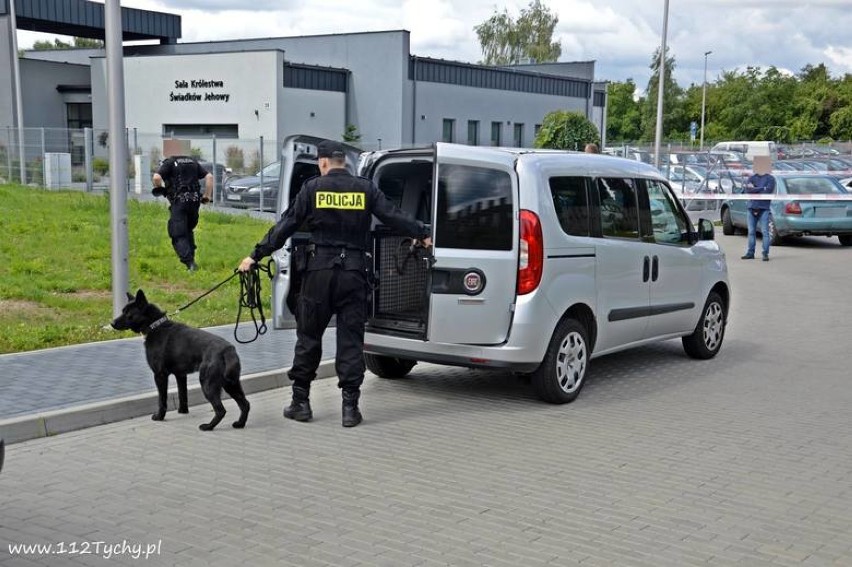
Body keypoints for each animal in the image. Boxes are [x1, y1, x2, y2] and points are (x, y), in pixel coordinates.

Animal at [111, 292, 248, 430]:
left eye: (128, 313)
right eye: (122, 311)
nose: (112, 323)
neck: (155, 326)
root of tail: (227, 350)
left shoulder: (160, 376)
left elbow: (162, 399)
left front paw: (159, 417)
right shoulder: (181, 375)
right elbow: (183, 394)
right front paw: (183, 411)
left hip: (208, 384)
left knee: (221, 410)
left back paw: (208, 426)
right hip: (231, 384)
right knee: (245, 404)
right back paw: (240, 424)